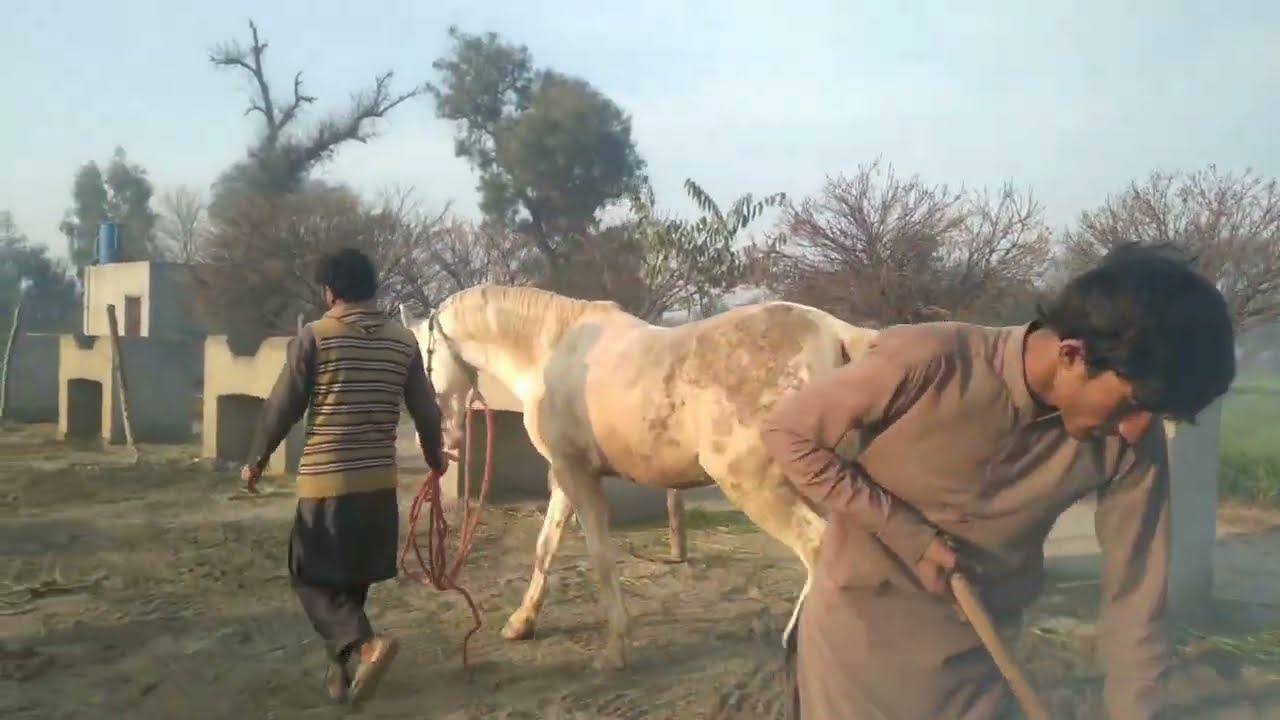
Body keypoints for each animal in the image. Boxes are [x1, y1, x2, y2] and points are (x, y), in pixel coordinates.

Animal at [412, 284, 879, 670]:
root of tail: (835, 334)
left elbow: (600, 555)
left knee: (816, 548)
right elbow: (546, 547)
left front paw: (616, 649)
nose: (439, 440)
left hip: (757, 487)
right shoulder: (565, 474)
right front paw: (520, 623)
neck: (550, 351)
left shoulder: (577, 475)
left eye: (424, 362)